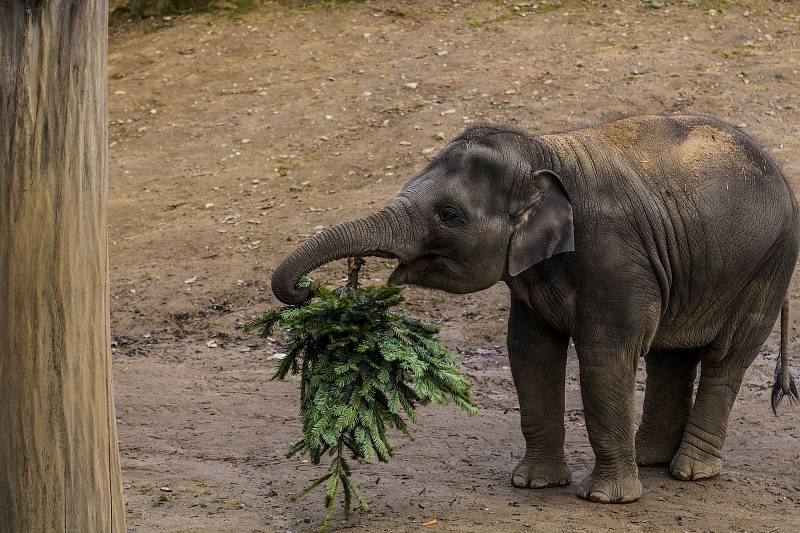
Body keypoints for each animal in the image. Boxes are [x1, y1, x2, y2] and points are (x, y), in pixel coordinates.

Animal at [272, 115, 796, 502]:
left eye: (450, 215)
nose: (309, 293)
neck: (543, 152)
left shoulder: (616, 256)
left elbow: (605, 358)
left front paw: (603, 499)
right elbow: (529, 353)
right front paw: (533, 484)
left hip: (768, 265)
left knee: (726, 358)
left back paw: (691, 472)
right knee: (673, 355)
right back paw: (652, 461)